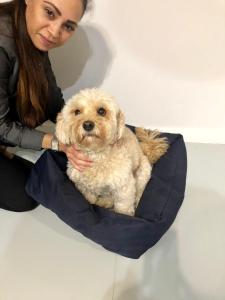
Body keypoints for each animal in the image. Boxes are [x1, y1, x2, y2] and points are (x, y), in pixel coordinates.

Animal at [55, 88, 169, 216]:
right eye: (77, 112)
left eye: (101, 111)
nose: (88, 125)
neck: (96, 155)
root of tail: (144, 151)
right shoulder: (83, 186)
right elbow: (90, 198)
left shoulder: (124, 187)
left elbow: (123, 207)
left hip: (142, 174)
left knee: (139, 193)